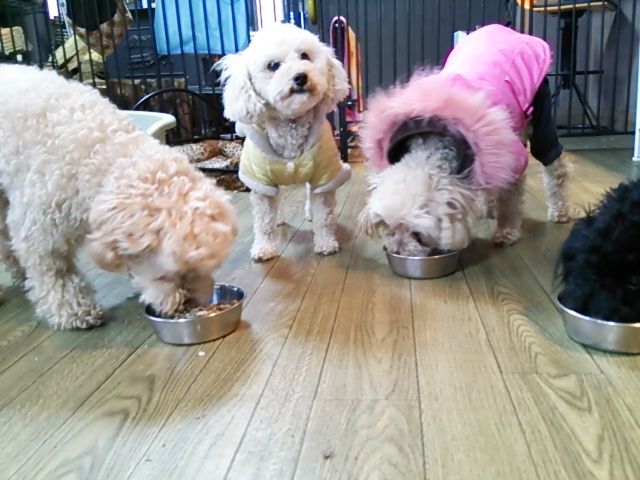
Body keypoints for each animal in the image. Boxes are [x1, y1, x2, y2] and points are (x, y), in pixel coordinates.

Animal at [0, 64, 238, 329]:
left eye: (207, 268)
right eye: (165, 275)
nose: (188, 304)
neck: (99, 151)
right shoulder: (41, 229)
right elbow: (56, 274)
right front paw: (75, 311)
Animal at [215, 22, 351, 262]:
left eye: (305, 56)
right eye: (273, 65)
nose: (300, 77)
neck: (290, 124)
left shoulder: (323, 173)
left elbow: (323, 217)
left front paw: (326, 243)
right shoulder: (260, 181)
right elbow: (263, 222)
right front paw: (264, 248)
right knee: (277, 198)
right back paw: (278, 217)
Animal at [358, 24, 571, 256]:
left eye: (418, 235)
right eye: (388, 227)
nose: (397, 251)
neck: (434, 144)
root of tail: (510, 31)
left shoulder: (511, 164)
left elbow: (510, 204)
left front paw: (506, 232)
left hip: (540, 112)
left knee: (555, 165)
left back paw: (560, 211)